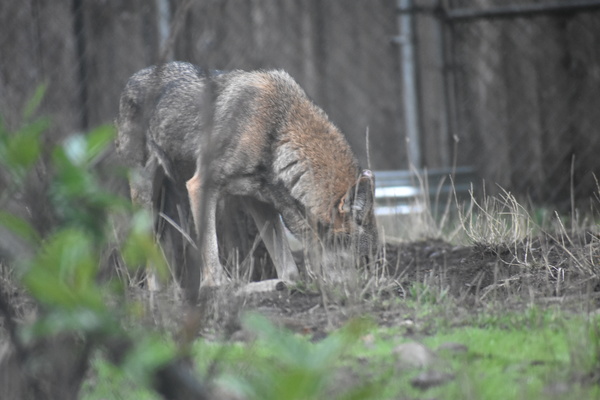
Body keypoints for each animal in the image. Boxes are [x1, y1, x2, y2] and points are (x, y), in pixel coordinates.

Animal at [116, 61, 378, 288]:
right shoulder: (200, 186)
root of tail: (131, 78)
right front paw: (222, 288)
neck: (275, 130)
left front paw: (274, 285)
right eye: (364, 260)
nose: (367, 288)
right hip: (145, 195)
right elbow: (212, 255)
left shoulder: (260, 202)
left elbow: (290, 271)